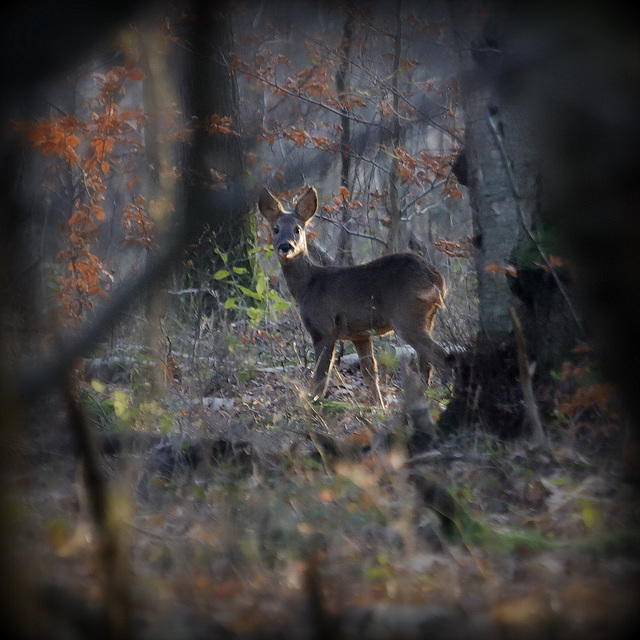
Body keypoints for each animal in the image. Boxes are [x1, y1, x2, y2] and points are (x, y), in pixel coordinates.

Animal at [258, 186, 450, 404]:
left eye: (297, 229)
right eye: (275, 228)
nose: (285, 246)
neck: (308, 286)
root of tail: (436, 278)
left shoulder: (323, 329)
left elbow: (321, 376)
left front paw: (314, 404)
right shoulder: (360, 334)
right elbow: (369, 372)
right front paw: (379, 406)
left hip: (407, 316)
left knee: (441, 357)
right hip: (428, 318)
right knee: (427, 363)